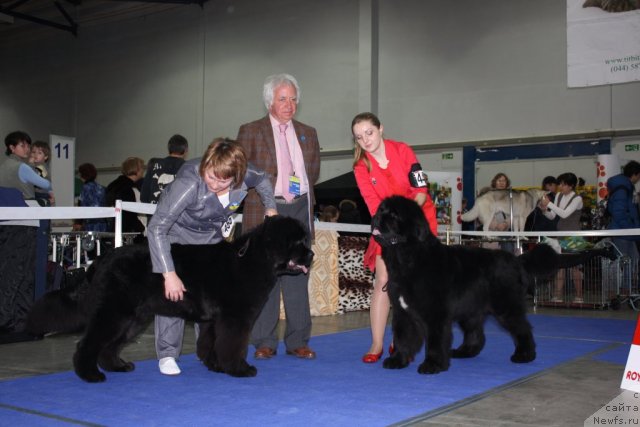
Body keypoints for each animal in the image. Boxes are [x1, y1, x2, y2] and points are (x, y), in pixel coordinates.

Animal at [27, 217, 312, 384]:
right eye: (297, 242)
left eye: (304, 240)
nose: (311, 254)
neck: (253, 259)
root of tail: (102, 259)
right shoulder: (235, 318)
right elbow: (232, 344)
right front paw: (239, 369)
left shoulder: (215, 319)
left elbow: (210, 343)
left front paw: (216, 366)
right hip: (115, 312)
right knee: (88, 343)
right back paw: (90, 375)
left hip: (132, 318)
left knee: (110, 345)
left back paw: (118, 366)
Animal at [372, 196, 564, 374]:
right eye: (381, 210)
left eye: (394, 215)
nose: (376, 217)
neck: (408, 259)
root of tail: (516, 260)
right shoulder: (402, 311)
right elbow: (402, 337)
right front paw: (397, 360)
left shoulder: (435, 313)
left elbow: (434, 340)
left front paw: (432, 365)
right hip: (470, 308)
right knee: (476, 334)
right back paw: (464, 351)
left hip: (505, 306)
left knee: (522, 328)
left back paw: (524, 355)